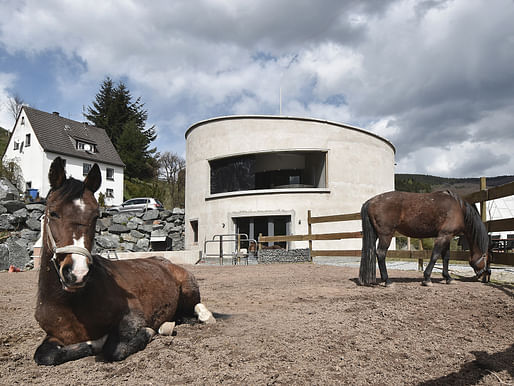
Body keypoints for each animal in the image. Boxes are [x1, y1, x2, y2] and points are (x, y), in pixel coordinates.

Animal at [34, 157, 214, 364]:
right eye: (53, 213)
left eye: (96, 216)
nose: (77, 273)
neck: (70, 304)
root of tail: (165, 262)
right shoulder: (54, 336)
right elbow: (44, 355)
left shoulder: (132, 319)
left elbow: (113, 349)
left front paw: (147, 332)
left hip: (188, 288)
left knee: (196, 309)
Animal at [358, 191, 490, 286]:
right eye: (486, 257)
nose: (485, 274)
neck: (459, 210)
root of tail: (370, 201)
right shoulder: (443, 236)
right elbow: (435, 256)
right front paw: (427, 279)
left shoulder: (448, 236)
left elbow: (446, 257)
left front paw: (448, 278)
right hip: (386, 235)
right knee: (380, 253)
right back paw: (387, 281)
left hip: (376, 234)